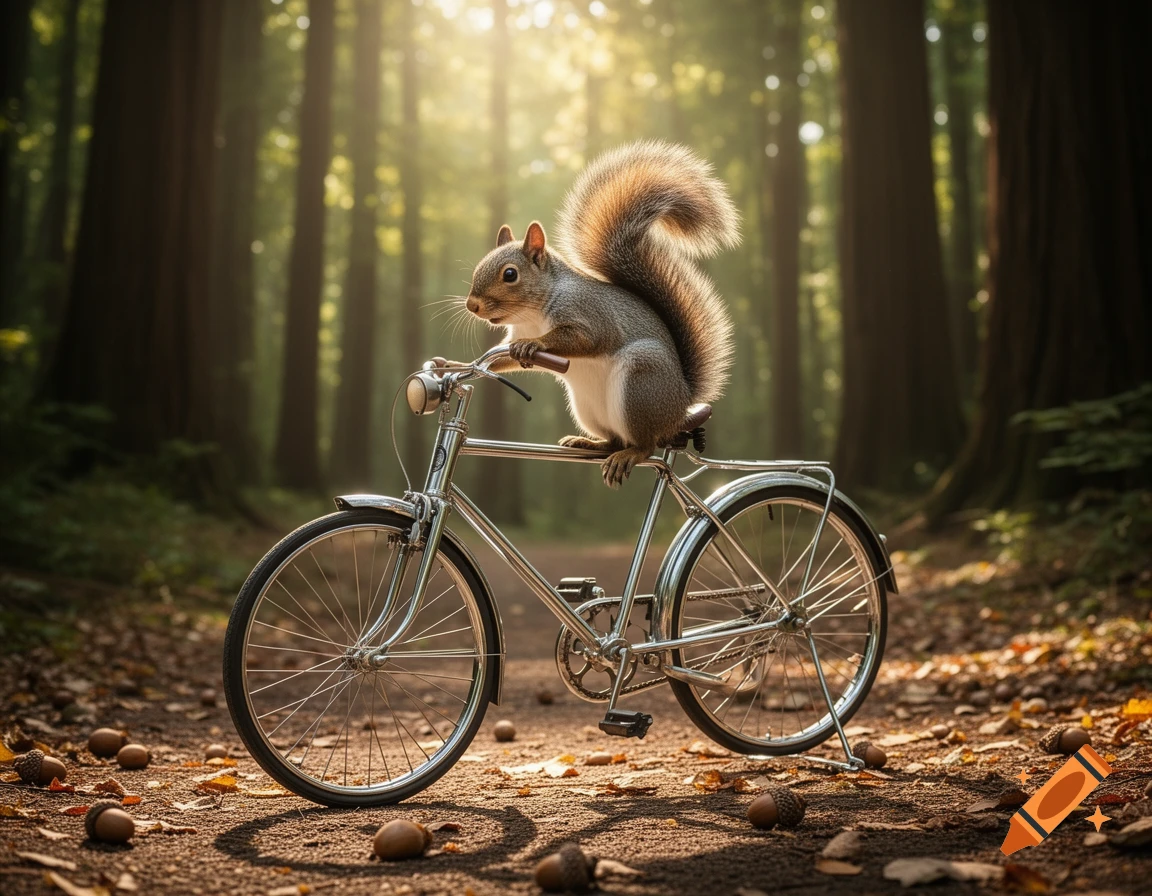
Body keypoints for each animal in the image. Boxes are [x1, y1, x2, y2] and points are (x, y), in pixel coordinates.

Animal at [457, 140, 740, 487]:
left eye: (510, 274)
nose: (472, 305)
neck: (531, 315)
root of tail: (681, 406)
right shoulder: (515, 333)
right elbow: (501, 356)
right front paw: (467, 363)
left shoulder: (587, 314)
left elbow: (587, 339)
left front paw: (536, 345)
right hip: (587, 408)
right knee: (615, 440)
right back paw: (589, 442)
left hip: (641, 385)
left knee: (645, 444)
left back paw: (629, 455)